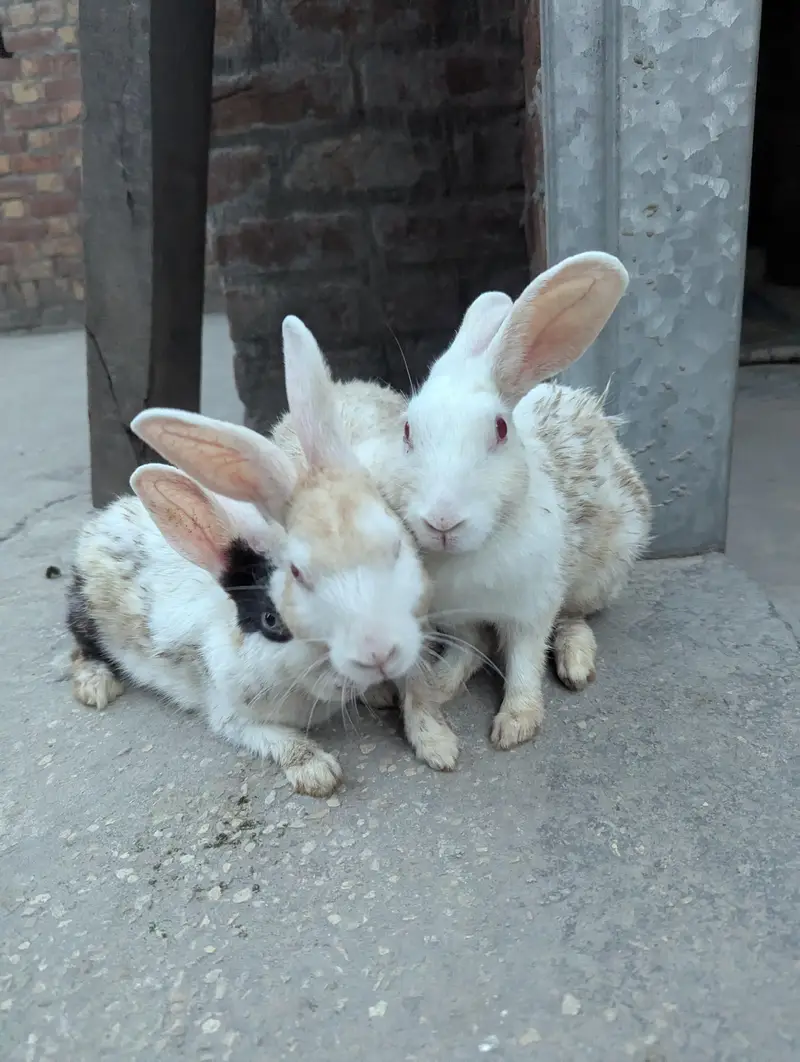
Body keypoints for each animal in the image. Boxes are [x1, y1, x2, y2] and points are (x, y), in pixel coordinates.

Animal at [389, 251, 651, 749]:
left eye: (499, 429)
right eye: (407, 430)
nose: (442, 521)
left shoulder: (533, 607)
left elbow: (525, 660)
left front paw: (515, 724)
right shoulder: (457, 617)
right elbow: (469, 649)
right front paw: (439, 683)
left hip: (599, 576)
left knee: (574, 617)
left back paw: (575, 661)